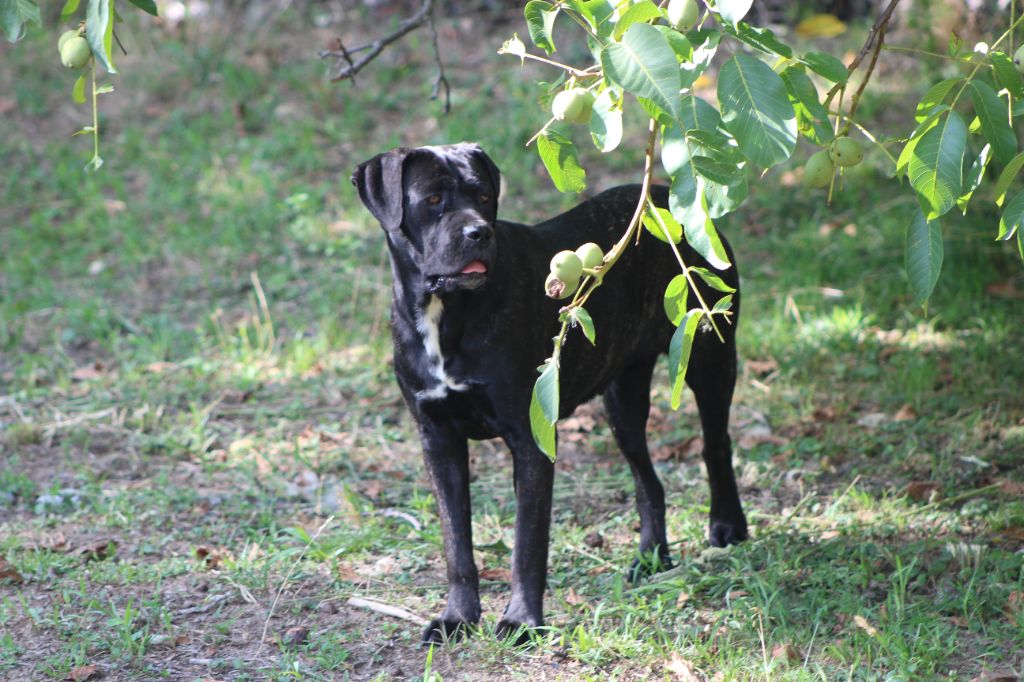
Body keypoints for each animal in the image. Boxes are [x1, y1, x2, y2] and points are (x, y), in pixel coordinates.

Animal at [350, 143, 745, 643]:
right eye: (433, 199)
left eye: (483, 196)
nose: (478, 232)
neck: (447, 314)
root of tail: (668, 201)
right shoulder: (438, 439)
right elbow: (457, 544)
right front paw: (458, 617)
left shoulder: (530, 440)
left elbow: (528, 542)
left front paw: (521, 621)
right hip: (622, 403)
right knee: (648, 481)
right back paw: (650, 558)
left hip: (709, 360)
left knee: (716, 444)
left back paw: (728, 526)